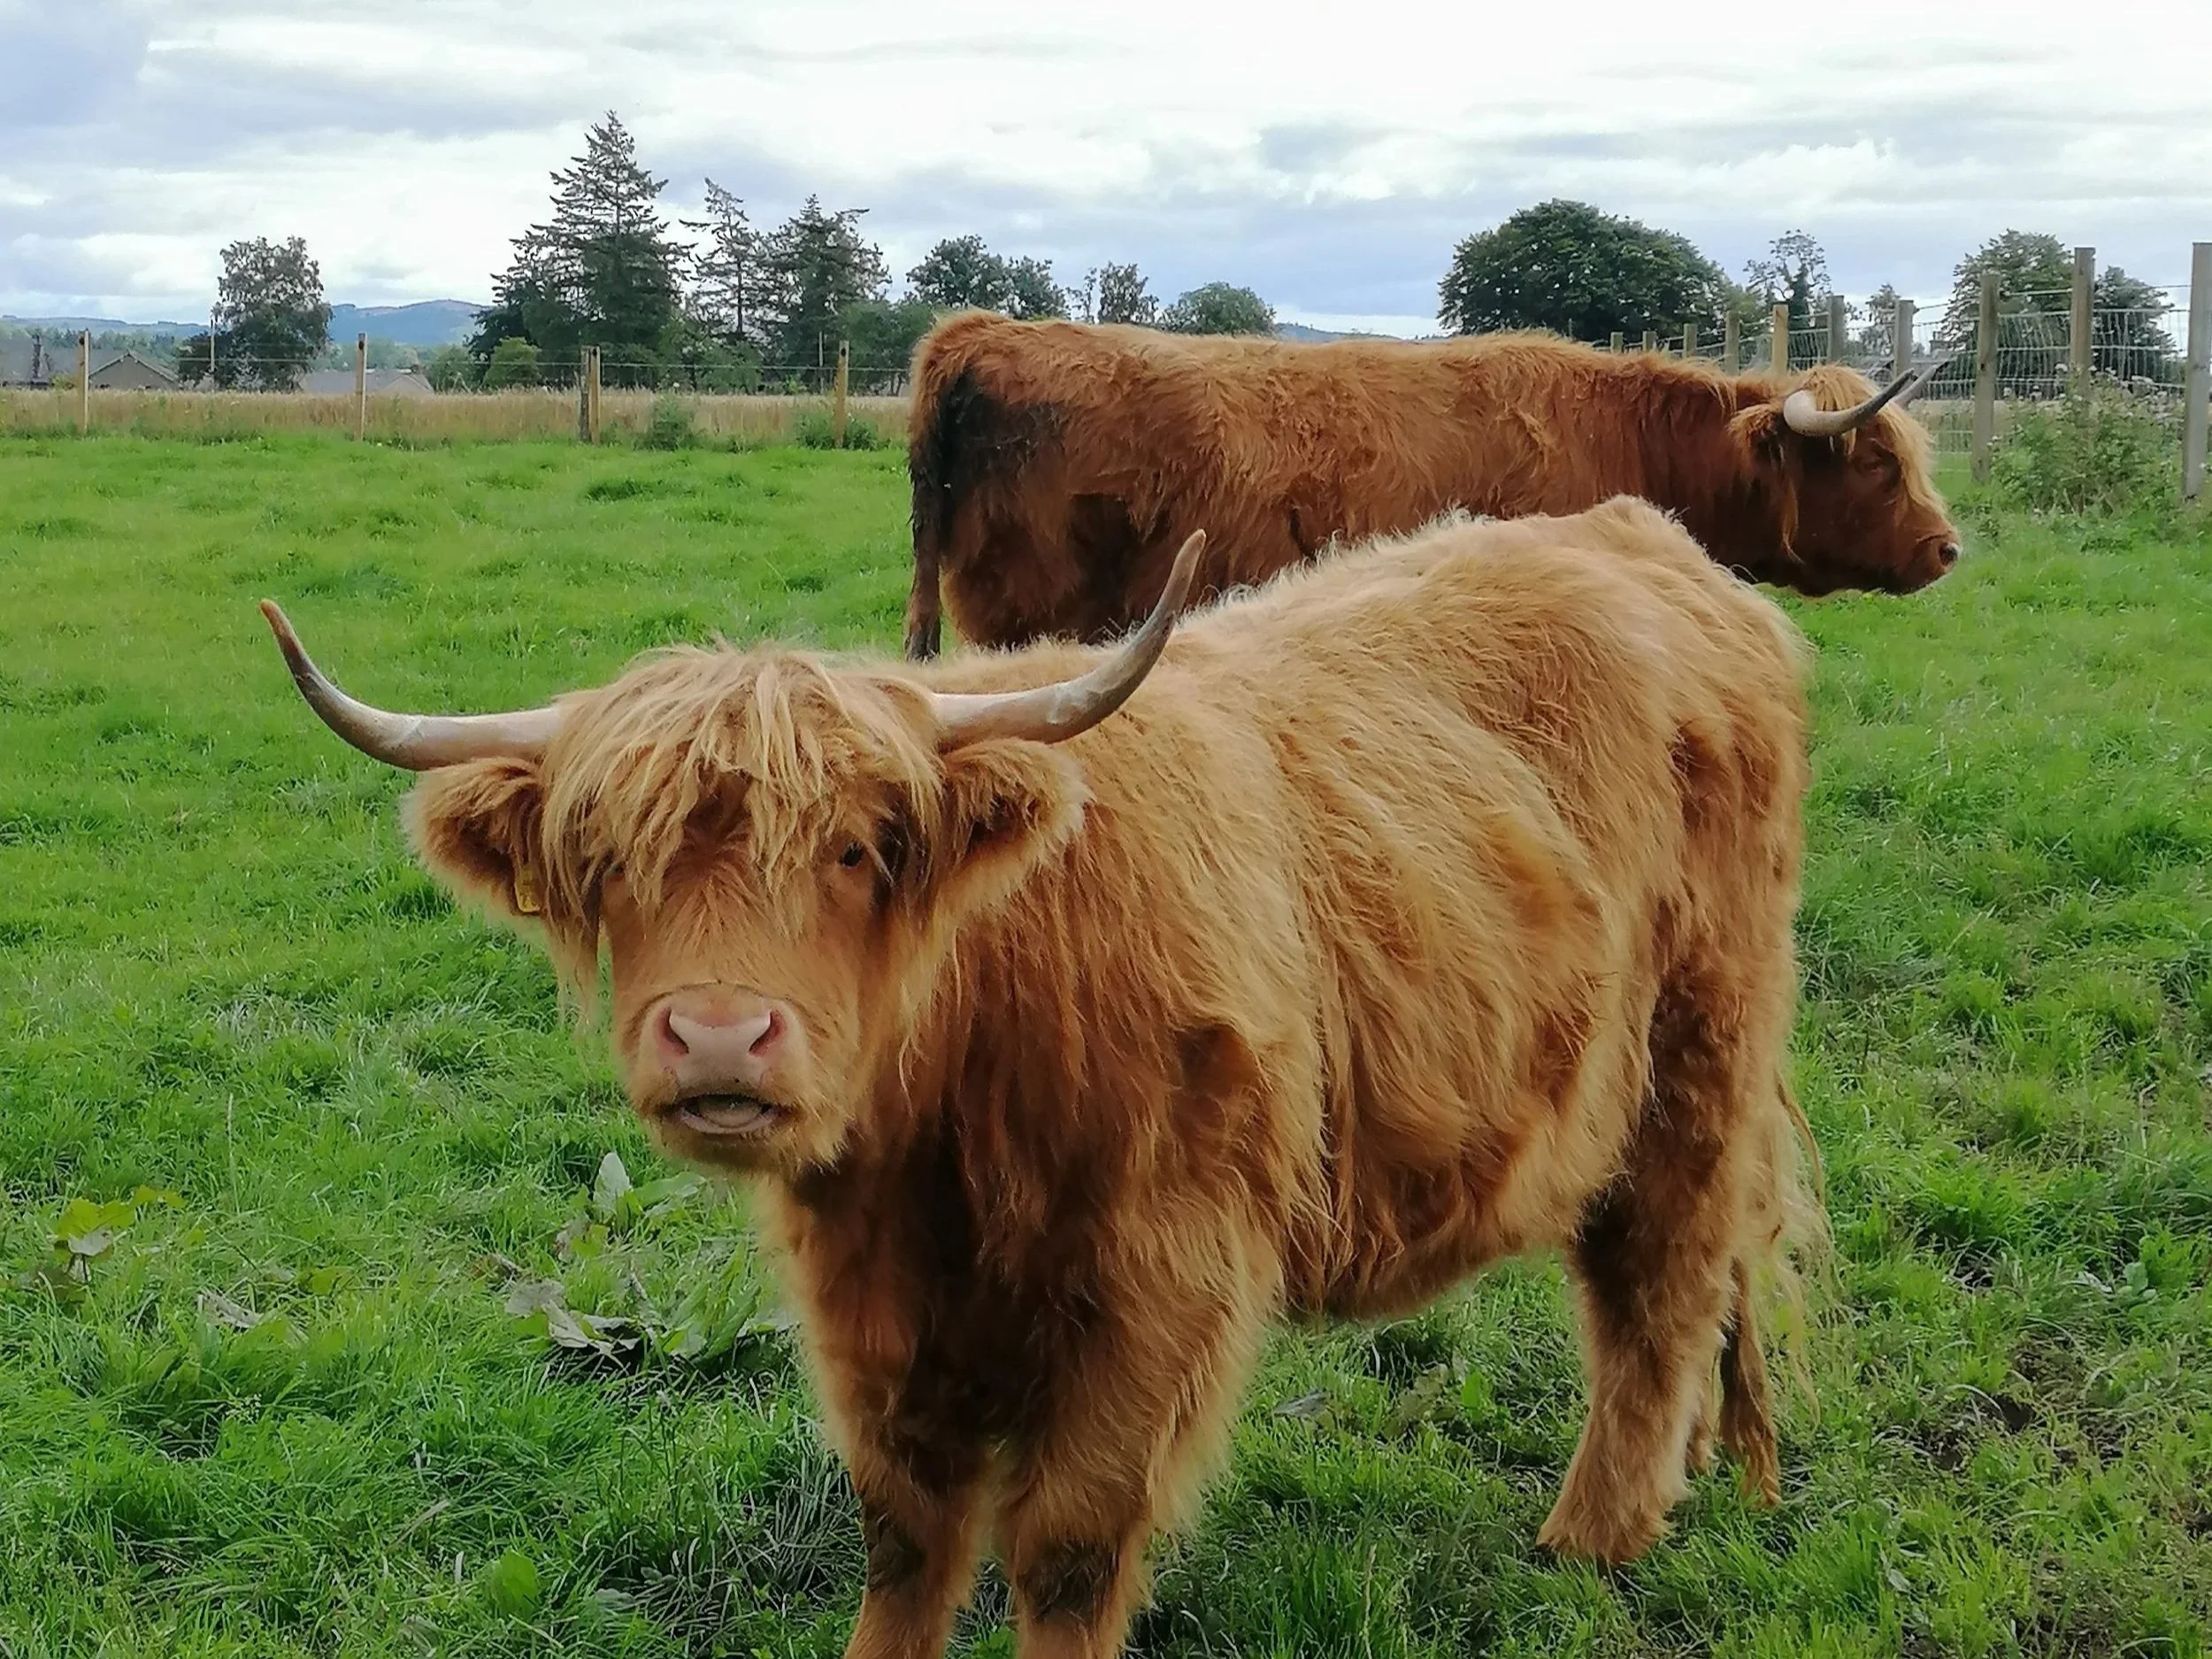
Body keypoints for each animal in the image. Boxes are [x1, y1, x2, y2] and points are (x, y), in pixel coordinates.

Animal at [261, 497, 1821, 1659]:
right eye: (610, 863)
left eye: (861, 848)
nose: (715, 1037)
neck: (958, 1110)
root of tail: (1653, 544)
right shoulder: (869, 1290)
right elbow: (903, 1523)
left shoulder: (1164, 1277)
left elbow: (1068, 1542)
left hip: (1699, 1055)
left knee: (1657, 1284)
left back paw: (1594, 1538)